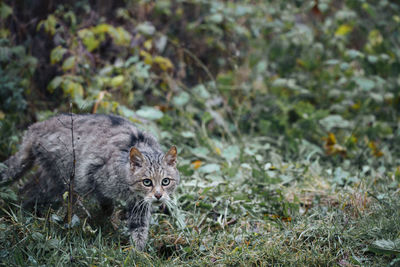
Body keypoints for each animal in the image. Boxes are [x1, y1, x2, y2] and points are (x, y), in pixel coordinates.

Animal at [0, 113, 180, 251]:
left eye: (165, 181)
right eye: (147, 182)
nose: (158, 196)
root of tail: (36, 127)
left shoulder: (140, 204)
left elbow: (139, 229)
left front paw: (139, 252)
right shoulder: (94, 177)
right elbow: (106, 203)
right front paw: (110, 219)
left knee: (26, 188)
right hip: (59, 180)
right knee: (29, 193)